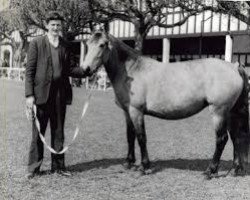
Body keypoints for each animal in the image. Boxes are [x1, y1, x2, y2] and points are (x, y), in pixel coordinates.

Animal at [82, 30, 250, 178]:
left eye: (102, 45)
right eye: (87, 44)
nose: (85, 69)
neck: (132, 71)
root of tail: (234, 66)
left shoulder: (136, 111)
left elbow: (141, 137)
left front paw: (144, 167)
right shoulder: (127, 111)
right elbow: (130, 136)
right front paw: (128, 162)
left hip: (218, 111)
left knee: (222, 139)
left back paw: (211, 171)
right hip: (230, 111)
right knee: (236, 137)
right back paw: (236, 169)